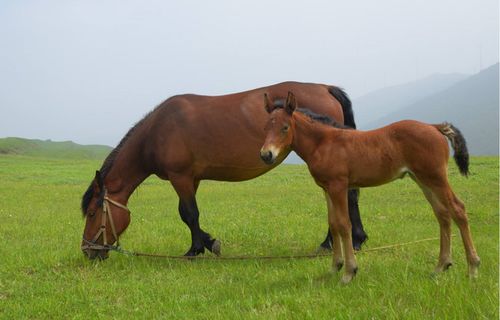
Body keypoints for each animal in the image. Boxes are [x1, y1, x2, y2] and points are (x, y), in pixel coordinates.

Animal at [79, 82, 368, 260]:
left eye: (92, 212)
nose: (87, 250)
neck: (157, 131)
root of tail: (325, 88)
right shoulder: (191, 178)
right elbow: (187, 214)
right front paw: (205, 243)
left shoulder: (180, 177)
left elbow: (189, 214)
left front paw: (198, 248)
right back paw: (351, 240)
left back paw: (336, 243)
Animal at [260, 91, 478, 284]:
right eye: (266, 126)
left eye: (285, 127)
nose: (266, 154)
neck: (324, 143)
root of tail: (434, 127)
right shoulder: (327, 188)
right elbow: (333, 223)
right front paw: (334, 267)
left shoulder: (339, 186)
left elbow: (343, 224)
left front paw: (349, 272)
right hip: (423, 180)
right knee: (442, 214)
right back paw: (441, 266)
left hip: (436, 178)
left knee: (458, 209)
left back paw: (473, 269)